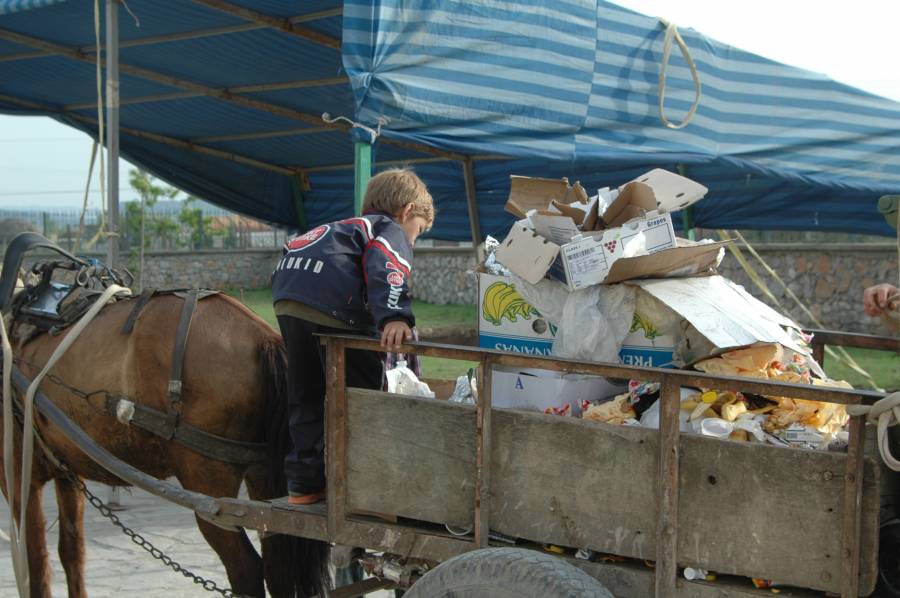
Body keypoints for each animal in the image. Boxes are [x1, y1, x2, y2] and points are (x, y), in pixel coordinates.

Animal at [0, 288, 330, 596]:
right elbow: (72, 553)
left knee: (245, 569)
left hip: (208, 485)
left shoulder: (18, 478)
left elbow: (36, 562)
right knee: (277, 566)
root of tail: (264, 337)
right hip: (264, 475)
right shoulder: (67, 472)